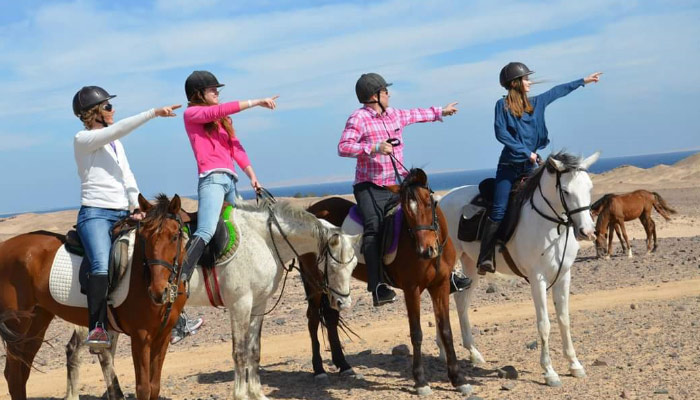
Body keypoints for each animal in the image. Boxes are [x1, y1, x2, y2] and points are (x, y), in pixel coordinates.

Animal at [0, 194, 188, 400]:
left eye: (175, 236)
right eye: (144, 237)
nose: (158, 291)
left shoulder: (162, 336)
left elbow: (154, 387)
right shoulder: (140, 336)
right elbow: (143, 388)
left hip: (37, 321)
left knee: (22, 371)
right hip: (17, 324)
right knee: (13, 374)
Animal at [61, 199, 360, 400]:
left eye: (355, 264)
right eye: (334, 265)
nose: (344, 303)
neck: (262, 239)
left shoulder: (259, 305)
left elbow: (254, 350)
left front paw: (257, 393)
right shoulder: (240, 304)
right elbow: (239, 352)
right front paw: (241, 394)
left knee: (104, 354)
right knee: (80, 350)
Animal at [297, 168, 472, 396]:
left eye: (428, 203)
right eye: (406, 211)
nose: (426, 250)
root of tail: (311, 210)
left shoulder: (440, 286)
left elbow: (446, 331)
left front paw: (458, 379)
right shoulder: (412, 289)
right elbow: (416, 333)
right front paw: (420, 381)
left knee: (331, 317)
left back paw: (344, 366)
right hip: (315, 282)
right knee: (313, 320)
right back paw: (319, 369)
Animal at [438, 151, 599, 387]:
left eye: (589, 187)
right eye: (566, 191)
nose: (587, 231)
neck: (550, 226)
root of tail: (442, 200)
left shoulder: (563, 275)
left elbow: (564, 320)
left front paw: (574, 364)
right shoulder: (537, 279)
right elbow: (544, 324)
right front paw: (549, 372)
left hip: (470, 264)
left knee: (461, 301)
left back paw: (473, 352)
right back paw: (442, 351)